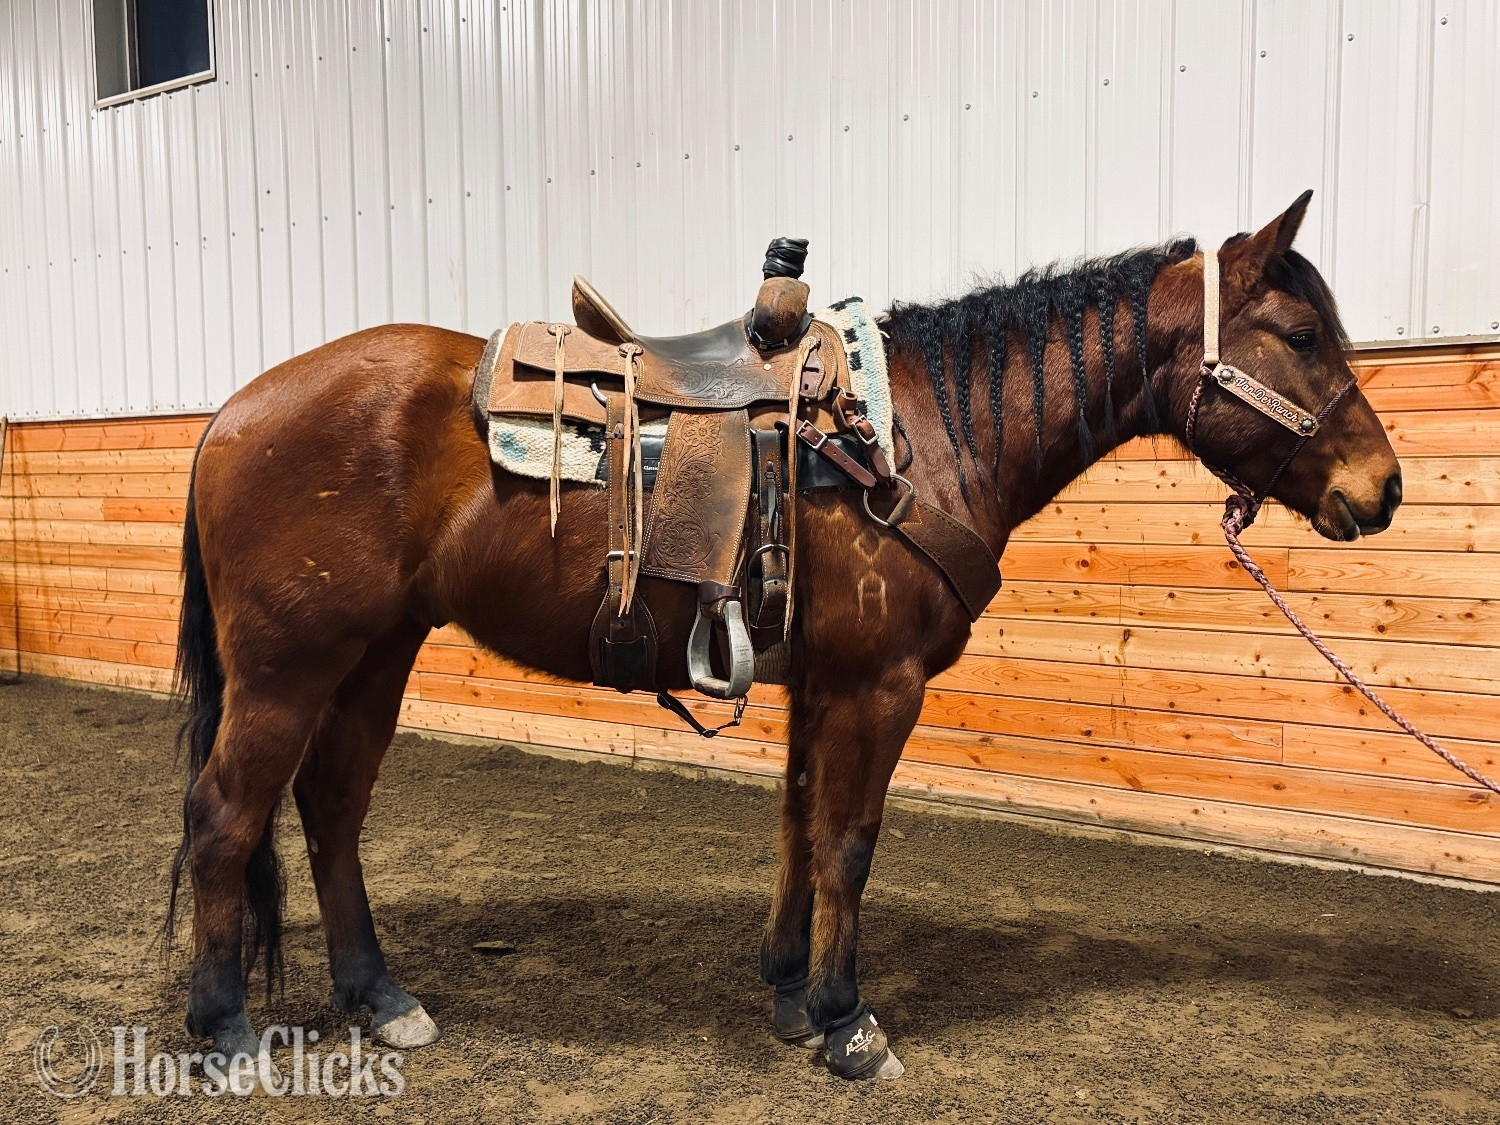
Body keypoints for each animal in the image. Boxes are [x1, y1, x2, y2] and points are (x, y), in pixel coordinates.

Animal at [166, 190, 1401, 1081]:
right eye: (1299, 333)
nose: (1382, 489)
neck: (912, 439)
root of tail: (232, 414)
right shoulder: (879, 685)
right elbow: (850, 840)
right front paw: (850, 1022)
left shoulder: (820, 682)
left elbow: (802, 828)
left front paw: (790, 993)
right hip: (288, 668)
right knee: (225, 815)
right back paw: (226, 1030)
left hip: (375, 654)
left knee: (331, 809)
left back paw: (381, 997)